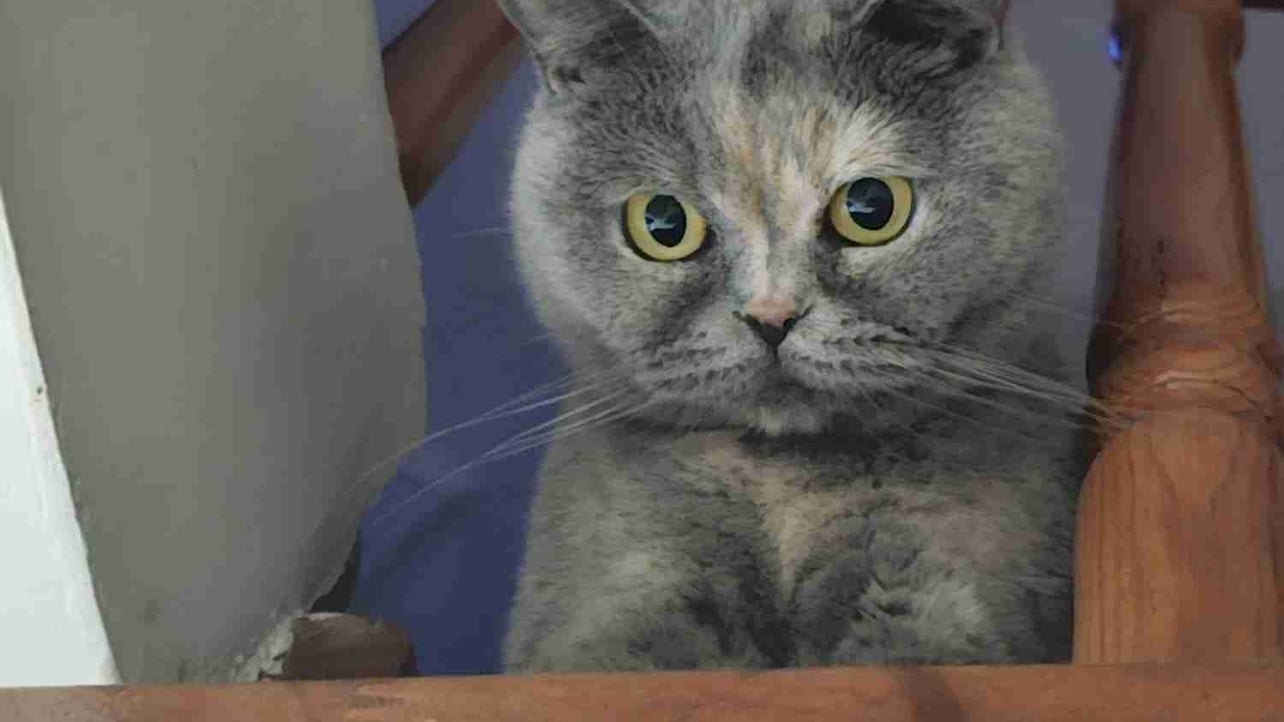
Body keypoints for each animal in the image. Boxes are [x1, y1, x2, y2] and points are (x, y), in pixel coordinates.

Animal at [497, 0, 1080, 671]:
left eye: (873, 206)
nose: (771, 317)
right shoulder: (615, 580)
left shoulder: (955, 574)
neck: (786, 488)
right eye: (662, 223)